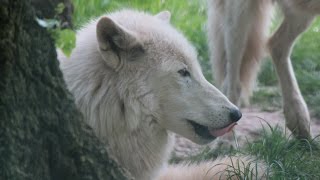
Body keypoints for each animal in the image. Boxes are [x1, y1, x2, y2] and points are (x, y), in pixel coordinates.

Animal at [208, 0, 320, 139]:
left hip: (304, 10)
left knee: (276, 44)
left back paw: (300, 124)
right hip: (239, 14)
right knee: (233, 82)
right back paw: (226, 140)